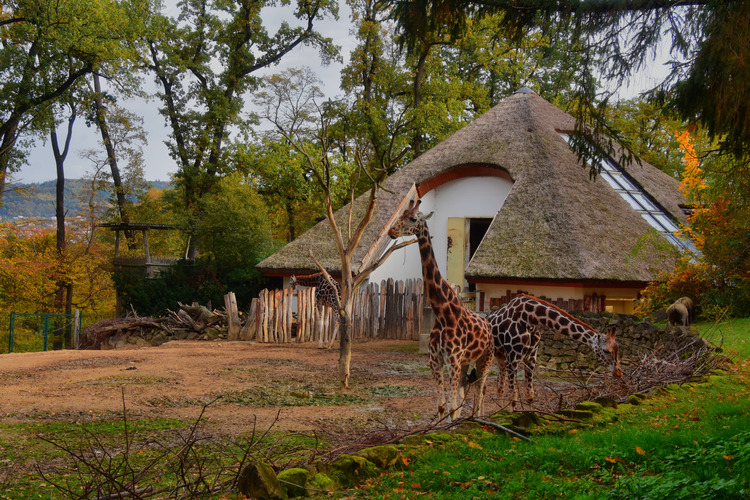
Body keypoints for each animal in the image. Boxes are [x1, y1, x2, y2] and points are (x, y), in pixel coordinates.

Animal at [388, 199, 500, 422]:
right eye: (401, 215)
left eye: (413, 218)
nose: (392, 231)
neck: (442, 313)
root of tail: (488, 322)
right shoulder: (436, 361)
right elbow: (442, 406)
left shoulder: (452, 361)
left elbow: (452, 407)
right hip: (467, 362)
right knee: (470, 388)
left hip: (486, 358)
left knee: (481, 388)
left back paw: (478, 418)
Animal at [488, 292, 624, 406]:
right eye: (606, 350)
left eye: (618, 349)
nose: (619, 372)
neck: (530, 317)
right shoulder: (513, 357)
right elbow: (513, 398)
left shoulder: (531, 357)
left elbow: (530, 397)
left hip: (500, 356)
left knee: (499, 386)